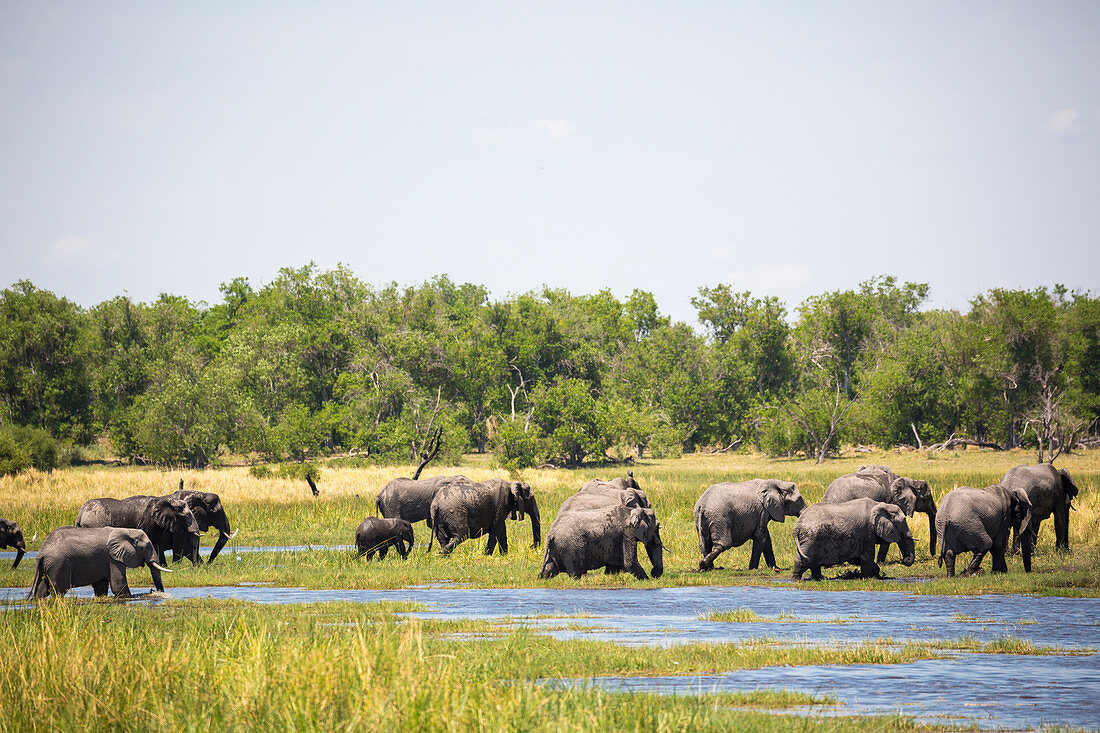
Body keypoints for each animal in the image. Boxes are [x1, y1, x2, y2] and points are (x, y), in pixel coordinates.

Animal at [27, 526, 170, 598]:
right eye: (147, 547)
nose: (153, 591)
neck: (126, 530)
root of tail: (42, 552)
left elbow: (101, 587)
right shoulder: (112, 558)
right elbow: (118, 585)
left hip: (46, 566)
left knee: (41, 590)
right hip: (58, 565)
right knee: (58, 591)